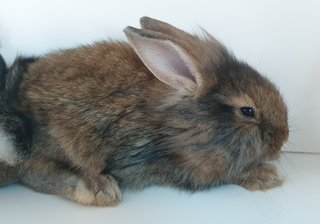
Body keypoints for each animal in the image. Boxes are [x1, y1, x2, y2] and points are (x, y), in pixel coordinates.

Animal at [8, 17, 290, 206]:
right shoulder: (184, 168)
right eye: (248, 111)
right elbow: (227, 175)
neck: (185, 123)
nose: (283, 139)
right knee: (32, 170)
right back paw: (99, 188)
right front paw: (267, 176)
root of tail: (18, 98)